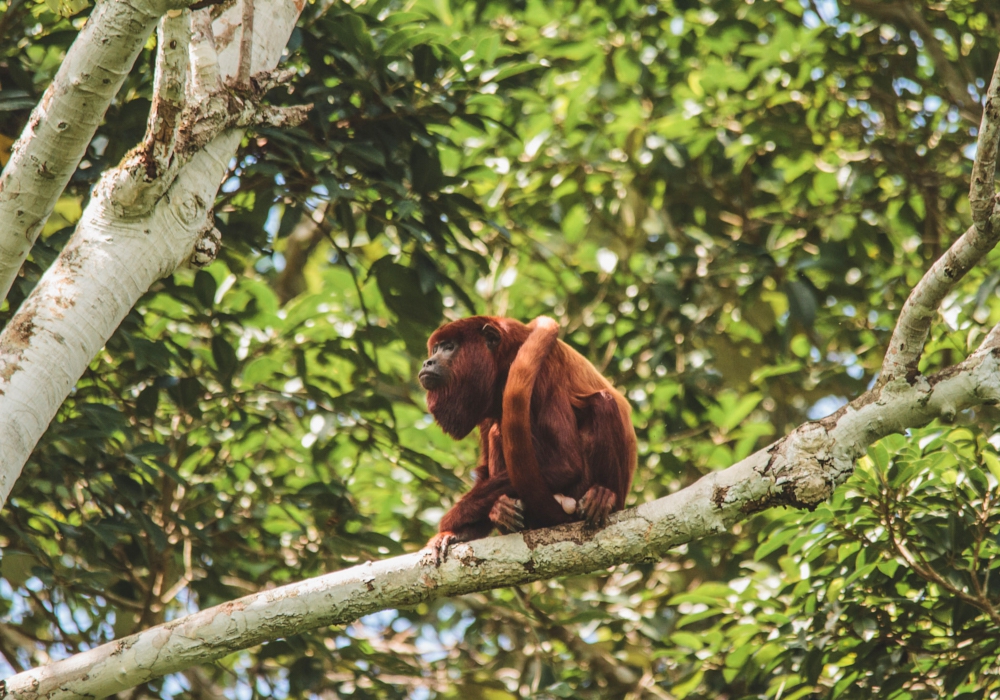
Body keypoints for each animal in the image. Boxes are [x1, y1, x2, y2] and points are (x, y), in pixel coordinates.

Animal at [418, 318, 636, 564]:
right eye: (435, 349)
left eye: (449, 347)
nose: (427, 362)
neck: (504, 361)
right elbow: (484, 469)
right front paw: (457, 533)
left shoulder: (543, 374)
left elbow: (565, 463)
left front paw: (454, 518)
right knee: (497, 429)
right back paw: (502, 512)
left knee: (602, 403)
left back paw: (603, 497)